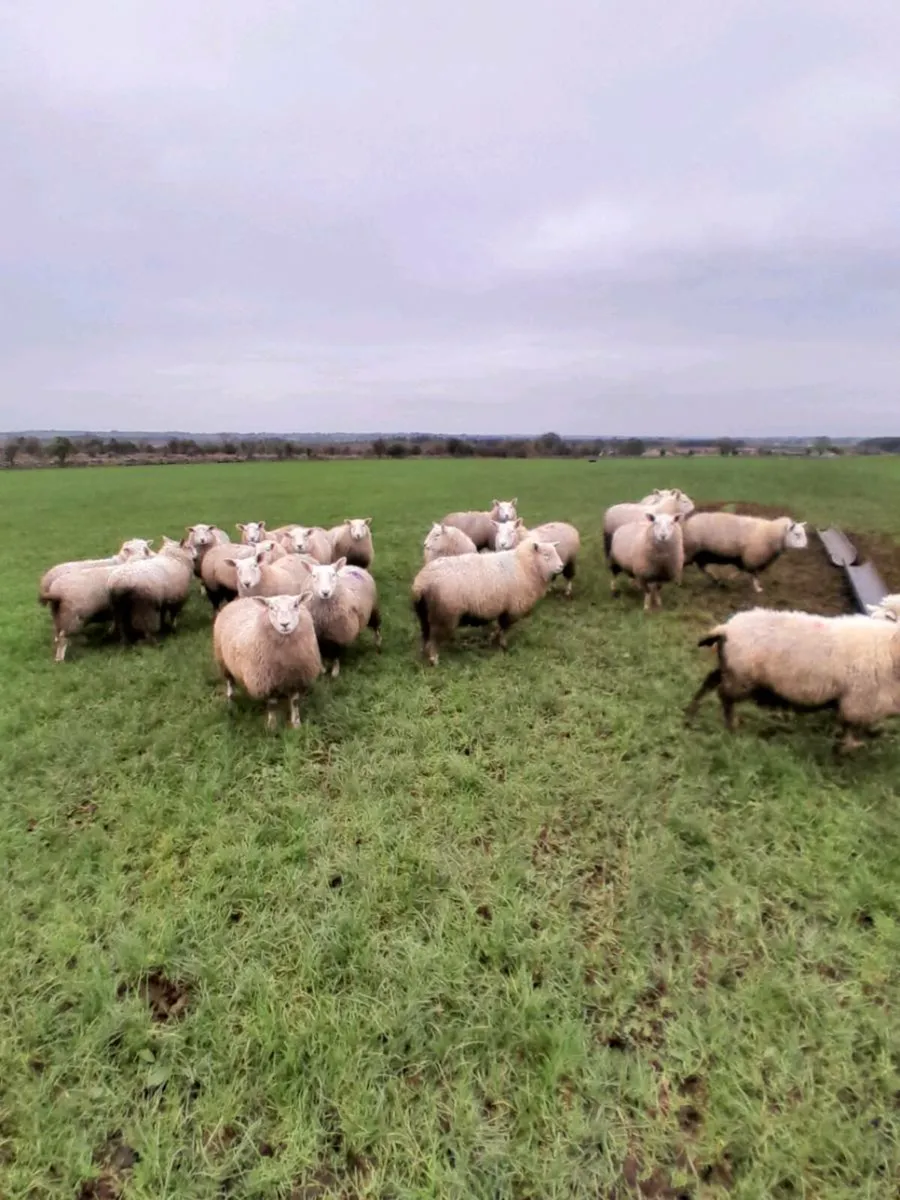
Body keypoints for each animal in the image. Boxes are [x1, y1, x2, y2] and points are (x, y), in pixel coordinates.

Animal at [213, 594, 323, 730]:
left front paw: (296, 724)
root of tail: (241, 599)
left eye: (295, 605)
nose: (285, 624)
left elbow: (295, 702)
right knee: (230, 682)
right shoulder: (266, 681)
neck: (286, 662)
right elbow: (272, 705)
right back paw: (230, 701)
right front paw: (272, 726)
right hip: (222, 661)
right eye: (271, 608)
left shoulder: (296, 678)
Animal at [411, 536, 564, 666]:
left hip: (424, 614)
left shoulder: (504, 609)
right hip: (444, 615)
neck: (524, 566)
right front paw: (502, 644)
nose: (561, 567)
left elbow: (500, 626)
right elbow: (504, 628)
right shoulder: (512, 609)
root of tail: (421, 584)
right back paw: (434, 659)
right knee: (434, 639)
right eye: (546, 555)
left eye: (556, 552)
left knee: (425, 635)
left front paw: (493, 638)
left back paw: (423, 655)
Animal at [685, 606, 900, 752]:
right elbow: (851, 727)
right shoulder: (858, 701)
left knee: (710, 681)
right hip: (742, 677)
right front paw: (850, 746)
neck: (891, 648)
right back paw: (730, 726)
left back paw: (691, 713)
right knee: (724, 695)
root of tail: (727, 628)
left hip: (731, 669)